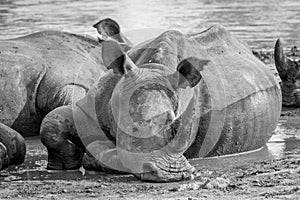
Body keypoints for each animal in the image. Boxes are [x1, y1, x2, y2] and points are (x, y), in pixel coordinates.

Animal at [39, 24, 282, 182]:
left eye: (177, 127)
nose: (173, 174)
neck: (154, 68)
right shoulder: (89, 106)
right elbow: (52, 123)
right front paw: (64, 164)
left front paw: (93, 157)